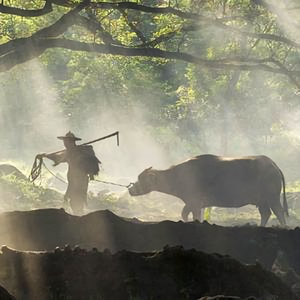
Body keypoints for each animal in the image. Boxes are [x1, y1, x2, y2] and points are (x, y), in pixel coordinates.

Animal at [129, 154, 288, 226]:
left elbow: (185, 214)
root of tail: (273, 164)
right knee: (266, 213)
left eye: (141, 179)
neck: (179, 176)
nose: (131, 189)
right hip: (262, 200)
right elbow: (193, 215)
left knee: (278, 211)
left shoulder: (193, 202)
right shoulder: (197, 205)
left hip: (272, 197)